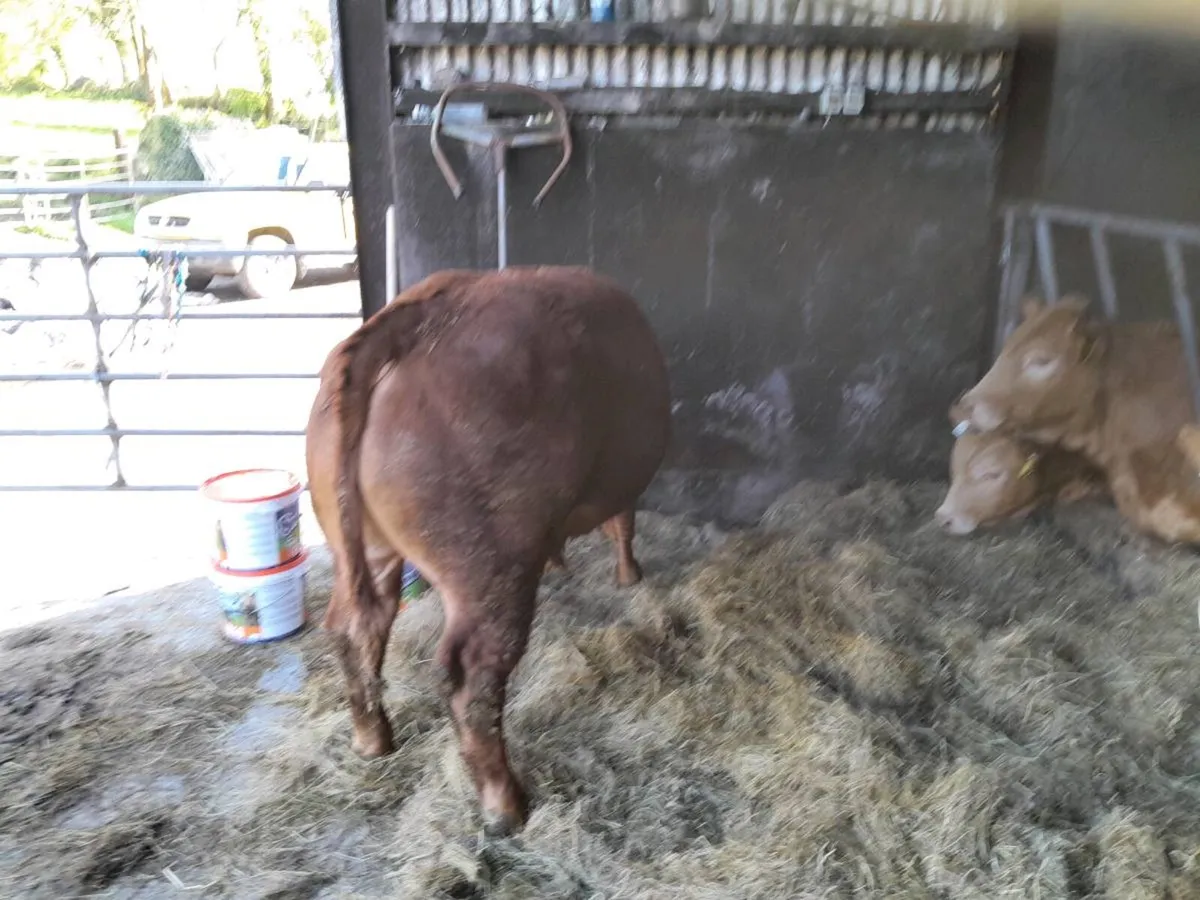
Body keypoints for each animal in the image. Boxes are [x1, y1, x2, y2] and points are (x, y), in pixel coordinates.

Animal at [305, 266, 671, 835]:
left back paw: (373, 741)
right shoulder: (620, 487)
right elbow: (623, 524)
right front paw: (629, 575)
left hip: (364, 547)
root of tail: (417, 316)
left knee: (355, 627)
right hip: (489, 566)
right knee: (471, 678)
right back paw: (505, 806)